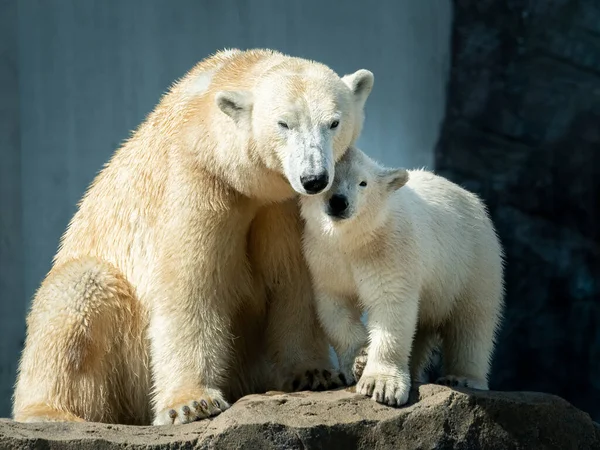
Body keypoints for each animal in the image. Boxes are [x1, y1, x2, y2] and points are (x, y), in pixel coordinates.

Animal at [11, 49, 372, 426]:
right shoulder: (197, 179)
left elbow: (294, 279)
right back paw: (50, 410)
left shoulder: (284, 206)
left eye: (333, 122)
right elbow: (191, 286)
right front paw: (191, 403)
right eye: (283, 124)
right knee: (78, 289)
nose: (314, 178)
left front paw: (314, 373)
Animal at [298, 146, 502, 406]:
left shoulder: (390, 249)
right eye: (328, 180)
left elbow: (390, 305)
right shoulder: (325, 259)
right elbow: (335, 307)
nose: (338, 202)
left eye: (363, 182)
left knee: (472, 320)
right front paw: (359, 358)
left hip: (472, 259)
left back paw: (462, 378)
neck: (353, 241)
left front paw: (381, 385)